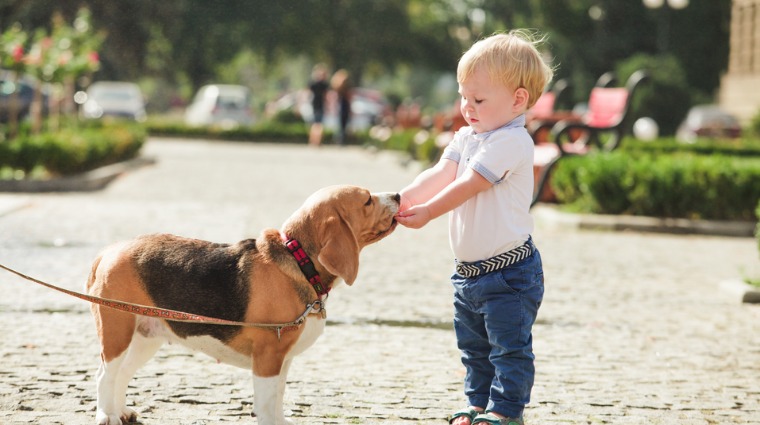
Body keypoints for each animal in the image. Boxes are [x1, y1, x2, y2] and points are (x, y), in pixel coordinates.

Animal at [86, 186, 400, 424]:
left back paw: (120, 411)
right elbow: (266, 405)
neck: (298, 260)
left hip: (145, 338)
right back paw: (106, 416)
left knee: (122, 373)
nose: (397, 195)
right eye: (367, 200)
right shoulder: (268, 358)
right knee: (105, 374)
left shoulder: (283, 360)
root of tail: (109, 251)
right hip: (117, 334)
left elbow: (278, 399)